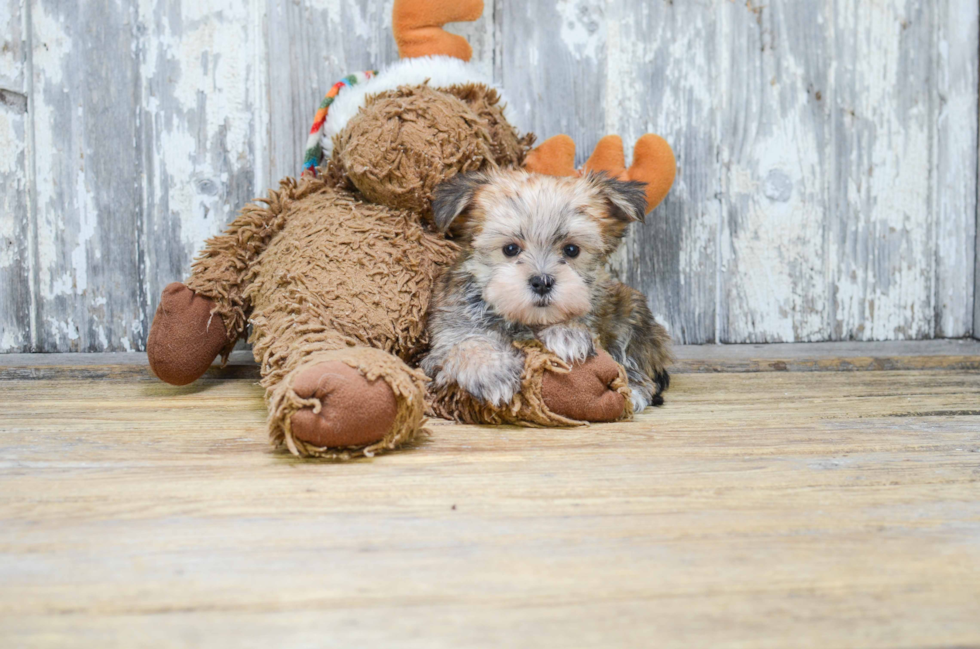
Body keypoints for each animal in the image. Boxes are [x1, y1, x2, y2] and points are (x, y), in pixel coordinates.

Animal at [422, 167, 672, 410]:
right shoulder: (445, 337)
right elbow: (464, 344)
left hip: (630, 310)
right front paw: (491, 372)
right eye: (510, 249)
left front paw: (567, 332)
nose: (542, 282)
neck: (525, 321)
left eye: (571, 250)